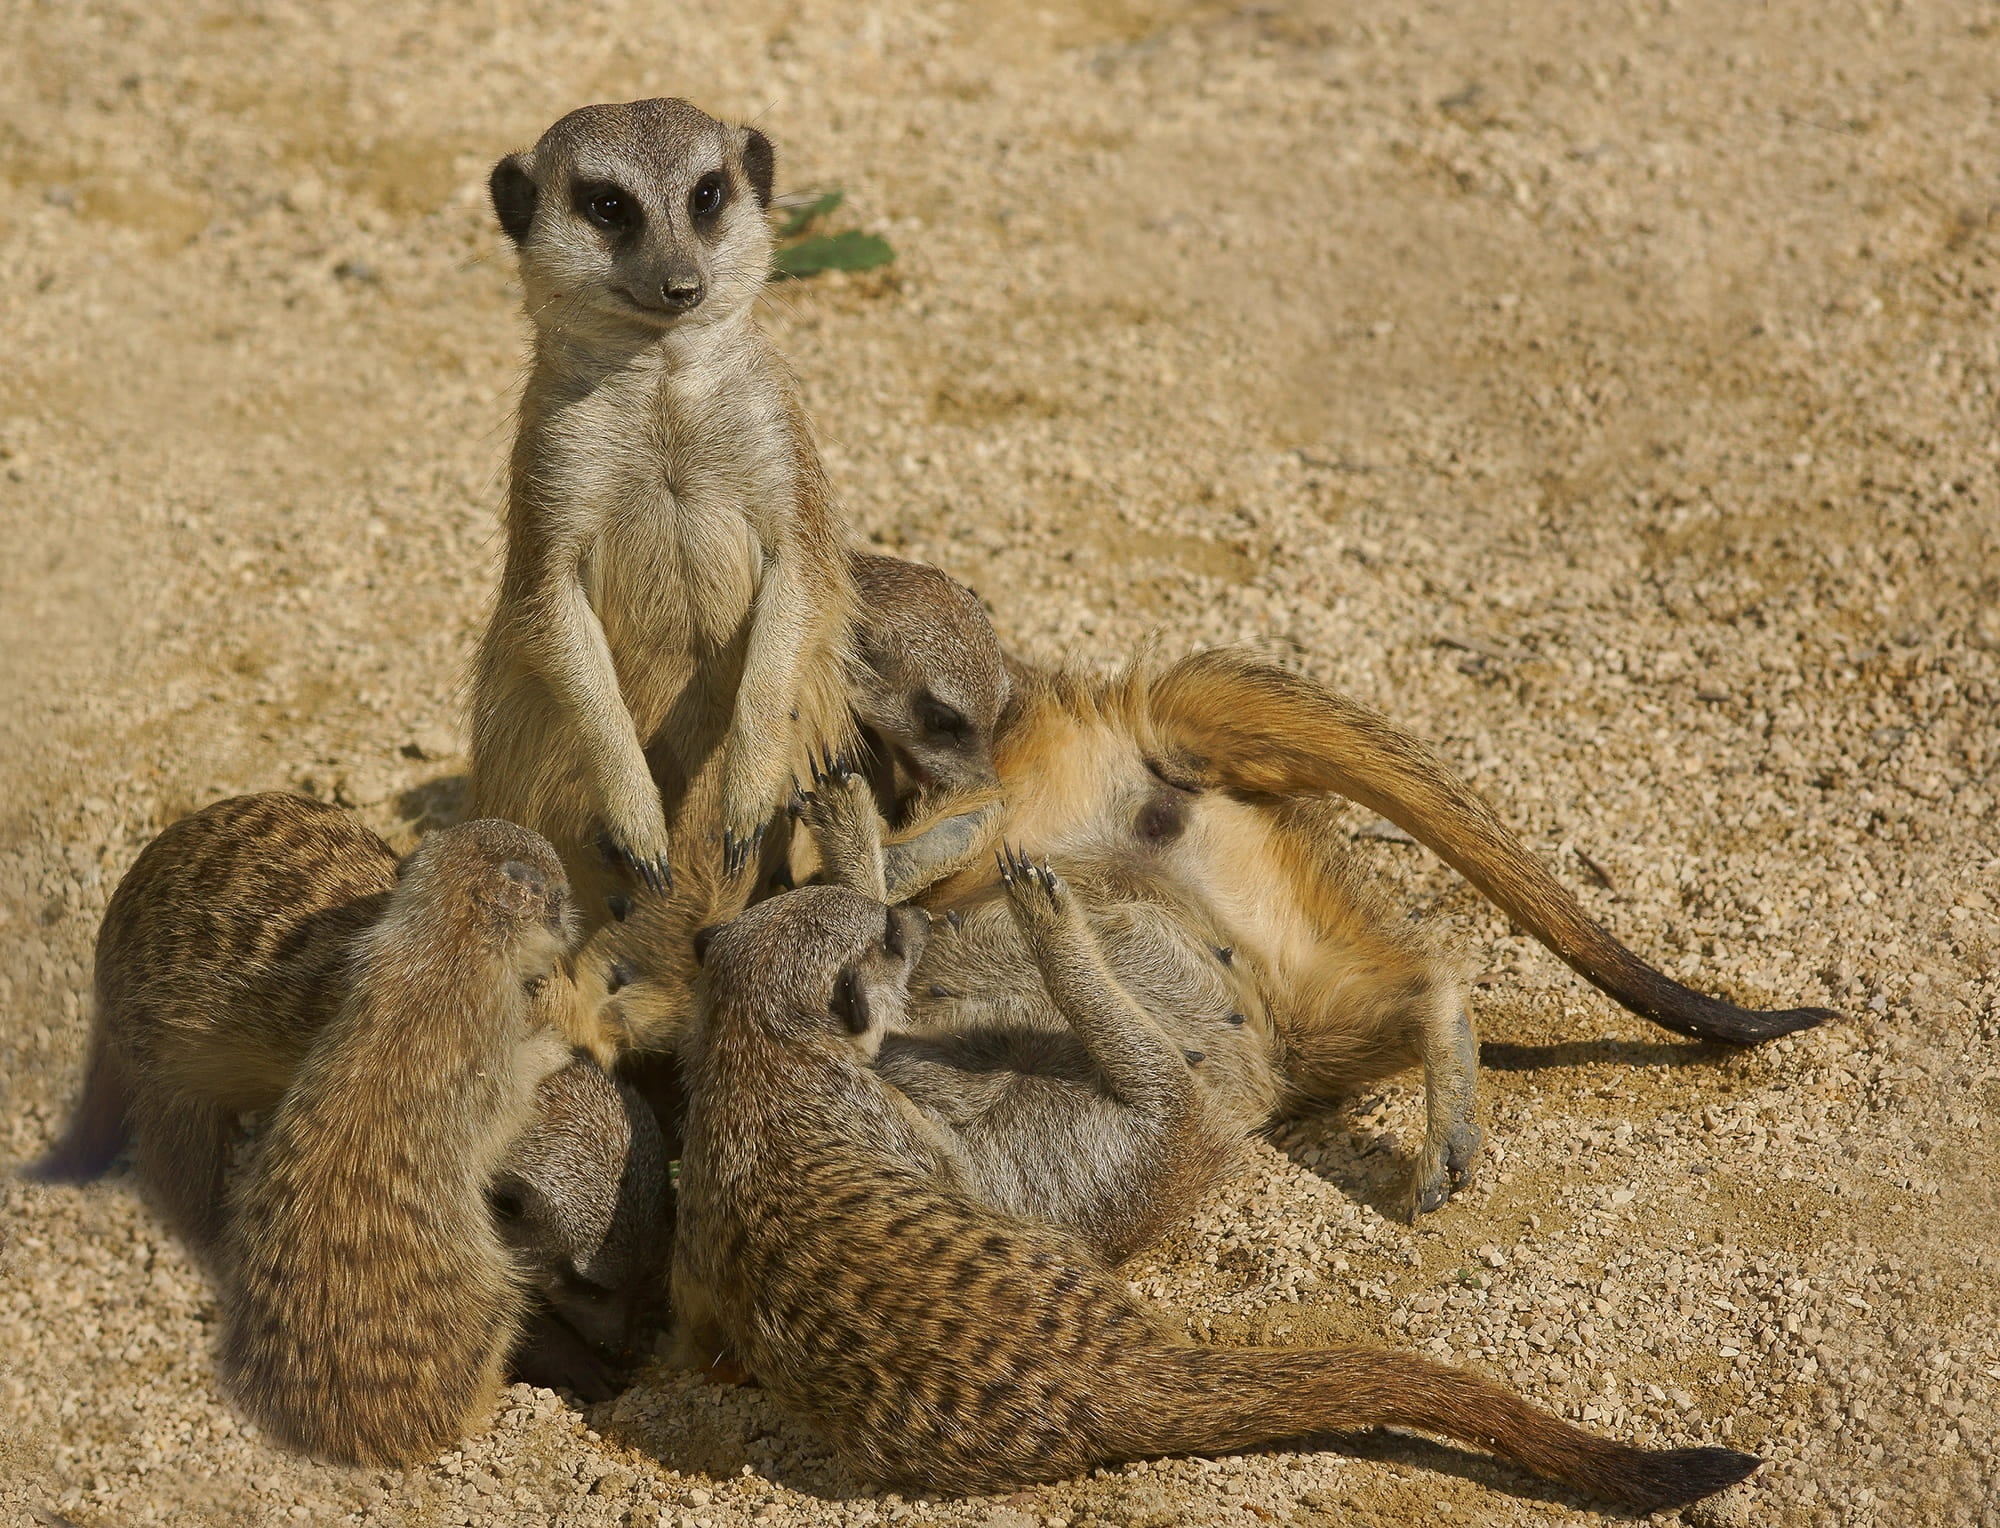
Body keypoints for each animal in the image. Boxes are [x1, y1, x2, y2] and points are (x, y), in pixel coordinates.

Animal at [220, 818, 577, 1467]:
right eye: (559, 896)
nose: (571, 921)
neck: (447, 950)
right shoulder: (486, 1043)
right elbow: (506, 1103)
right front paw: (548, 1048)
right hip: (486, 1301)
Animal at [470, 97, 856, 915]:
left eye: (706, 195)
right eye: (609, 206)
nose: (682, 283)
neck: (661, 385)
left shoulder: (779, 439)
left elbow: (801, 574)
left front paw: (751, 786)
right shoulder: (554, 462)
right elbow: (549, 605)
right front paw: (637, 816)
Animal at [670, 882, 1762, 1510]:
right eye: (885, 936)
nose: (915, 914)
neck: (753, 1057)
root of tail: (1117, 1376)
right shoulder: (882, 1115)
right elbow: (936, 1150)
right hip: (1134, 1145)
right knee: (1156, 1077)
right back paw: (1054, 926)